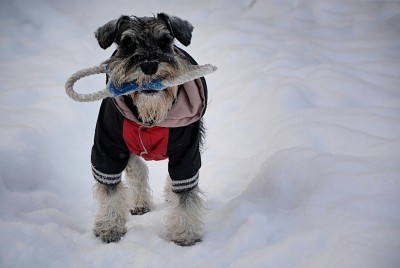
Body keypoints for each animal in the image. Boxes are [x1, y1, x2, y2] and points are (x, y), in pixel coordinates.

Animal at [90, 13, 208, 246]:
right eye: (128, 44)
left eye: (165, 41)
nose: (150, 65)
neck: (149, 116)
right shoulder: (108, 150)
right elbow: (110, 190)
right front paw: (110, 227)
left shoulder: (186, 154)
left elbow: (184, 194)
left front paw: (185, 233)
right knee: (137, 169)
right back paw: (139, 203)